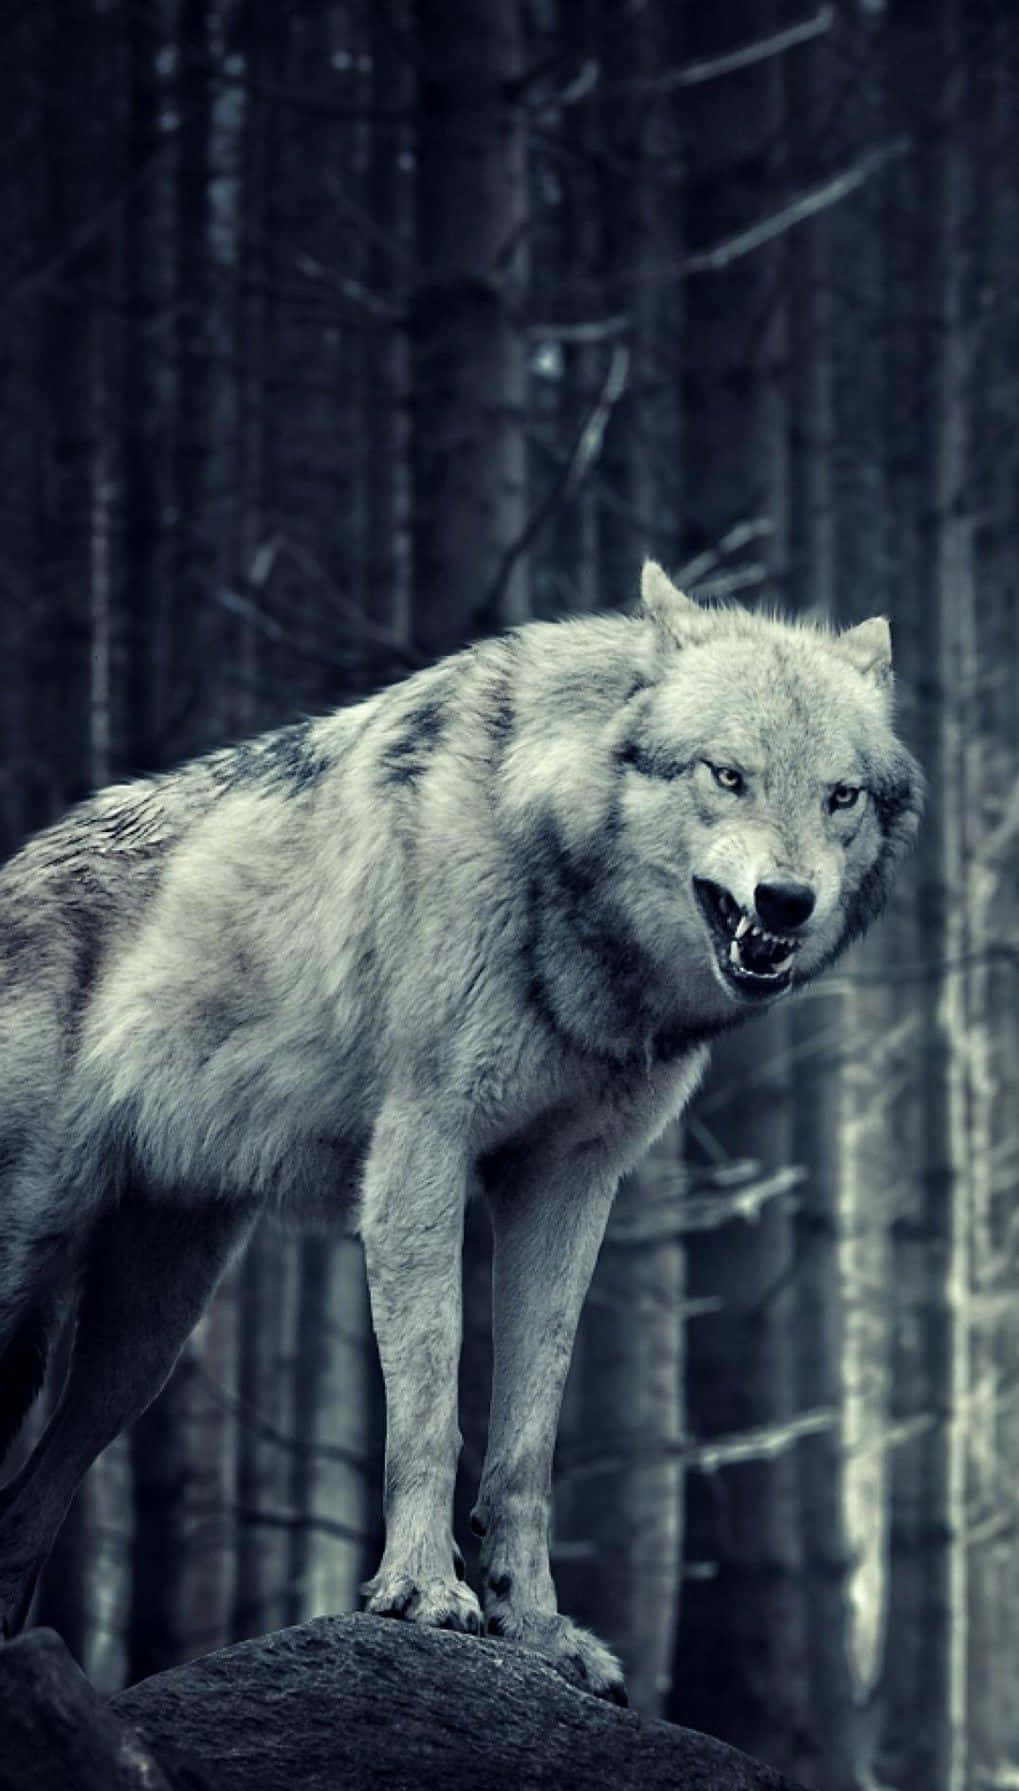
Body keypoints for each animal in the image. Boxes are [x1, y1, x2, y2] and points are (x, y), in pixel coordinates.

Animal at [0, 563, 922, 1697]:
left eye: (839, 796)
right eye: (727, 774)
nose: (786, 901)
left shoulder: (568, 1187)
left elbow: (524, 1443)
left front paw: (536, 1628)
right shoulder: (420, 1154)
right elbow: (429, 1412)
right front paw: (423, 1594)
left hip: (144, 1344)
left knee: (24, 1515)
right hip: (34, 1268)